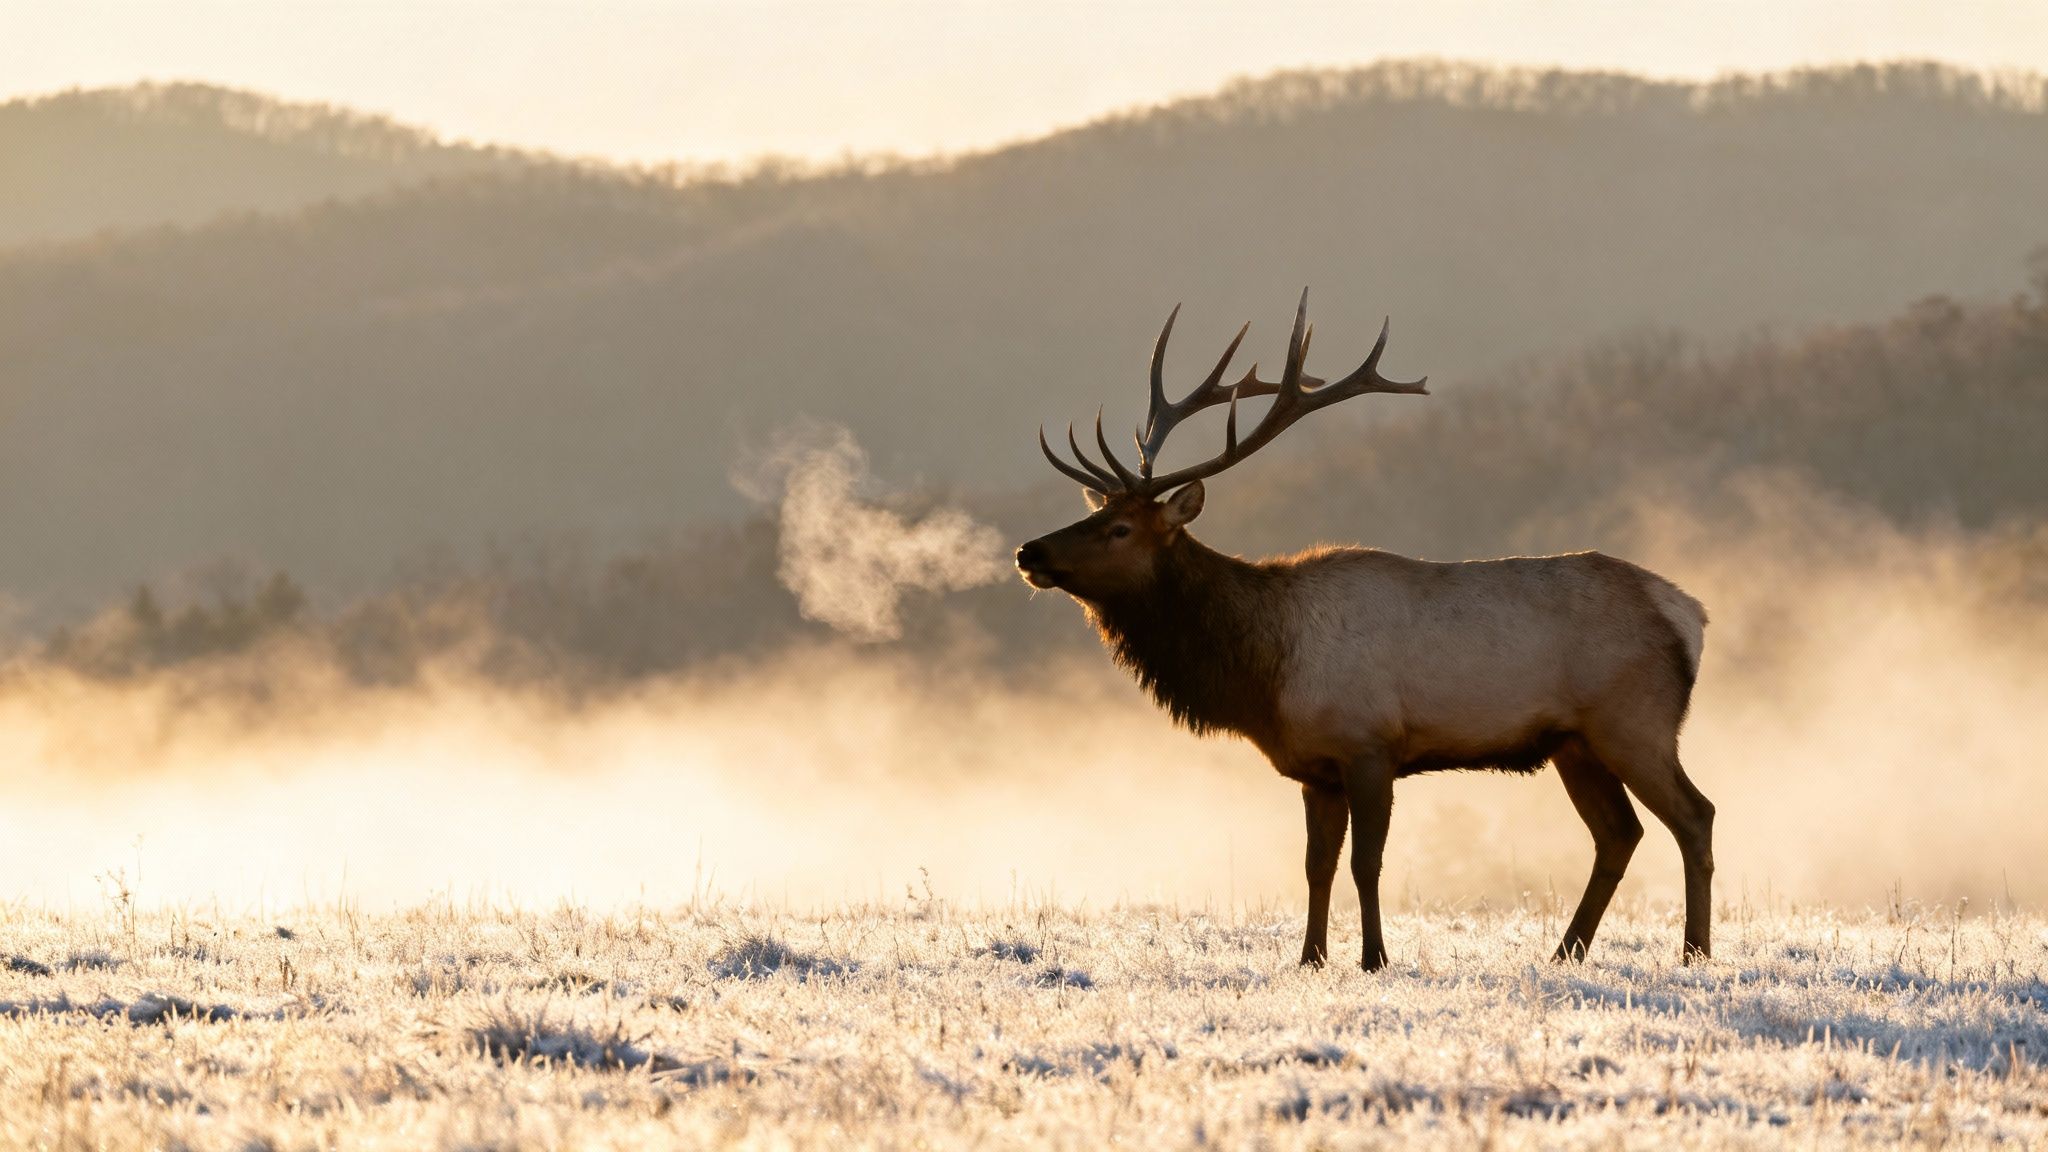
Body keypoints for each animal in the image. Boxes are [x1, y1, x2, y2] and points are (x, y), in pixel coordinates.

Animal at [1015, 291, 1715, 970]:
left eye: (1120, 529)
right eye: (1095, 515)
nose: (1029, 551)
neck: (1265, 672)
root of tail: (1691, 614)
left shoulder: (1371, 744)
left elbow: (1366, 862)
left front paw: (1374, 958)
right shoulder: (1316, 769)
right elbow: (1316, 866)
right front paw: (1310, 959)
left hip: (1634, 721)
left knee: (1694, 815)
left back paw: (1694, 952)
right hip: (1575, 742)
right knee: (1620, 833)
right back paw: (1567, 951)